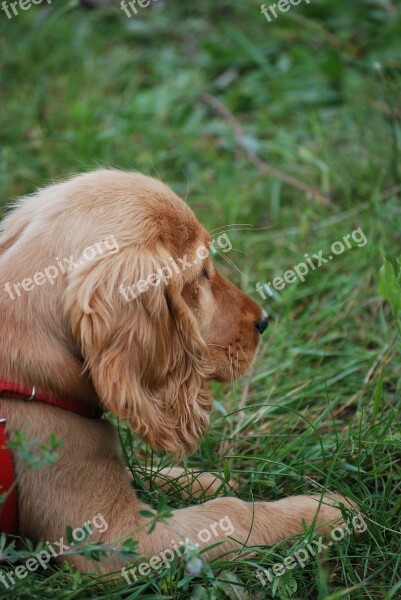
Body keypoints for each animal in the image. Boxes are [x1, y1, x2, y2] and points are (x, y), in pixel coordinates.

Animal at [0, 169, 346, 572]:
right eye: (201, 273)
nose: (263, 321)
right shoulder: (109, 540)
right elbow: (228, 514)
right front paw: (322, 512)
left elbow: (147, 473)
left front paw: (203, 480)